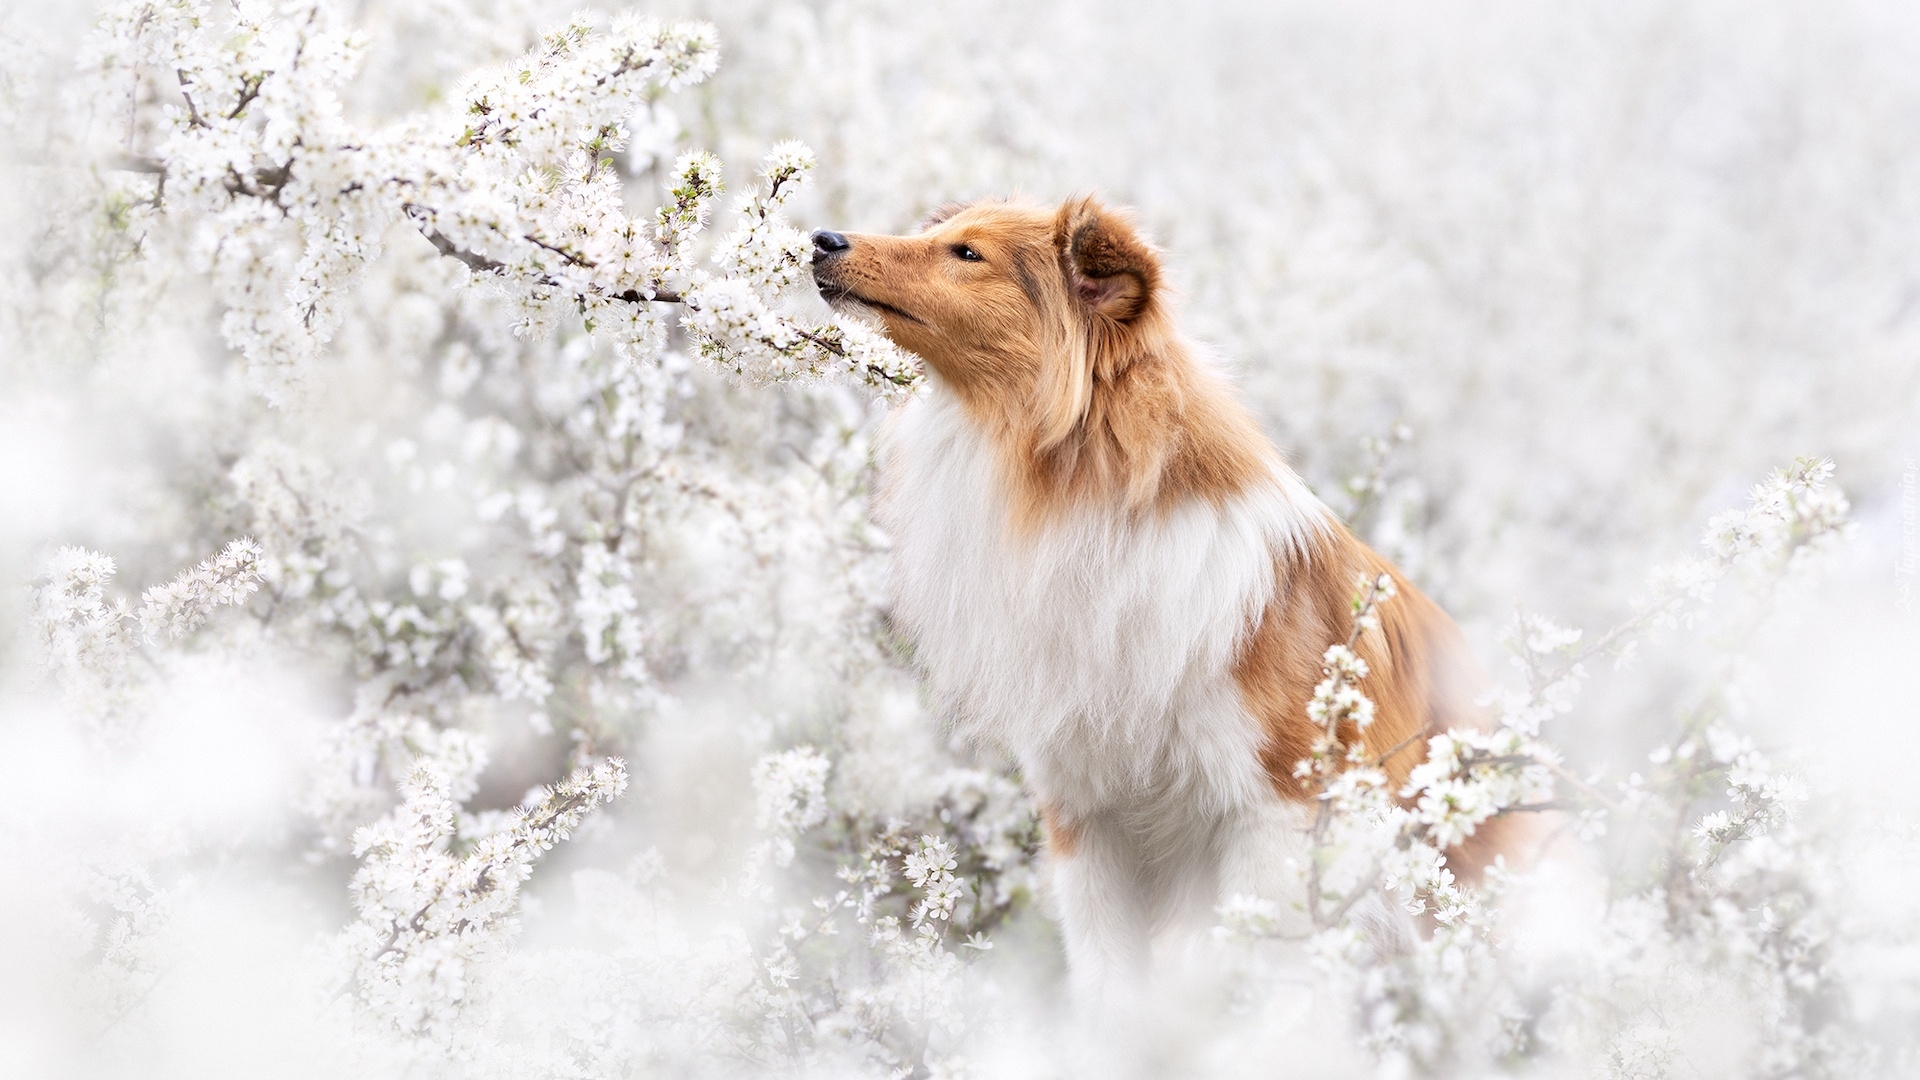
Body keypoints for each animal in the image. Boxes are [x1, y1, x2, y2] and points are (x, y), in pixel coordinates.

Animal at [810, 197, 1512, 999]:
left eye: (966, 254)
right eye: (941, 234)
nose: (821, 239)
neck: (1077, 487)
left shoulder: (1277, 811)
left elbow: (1267, 976)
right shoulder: (1085, 815)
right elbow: (1108, 982)